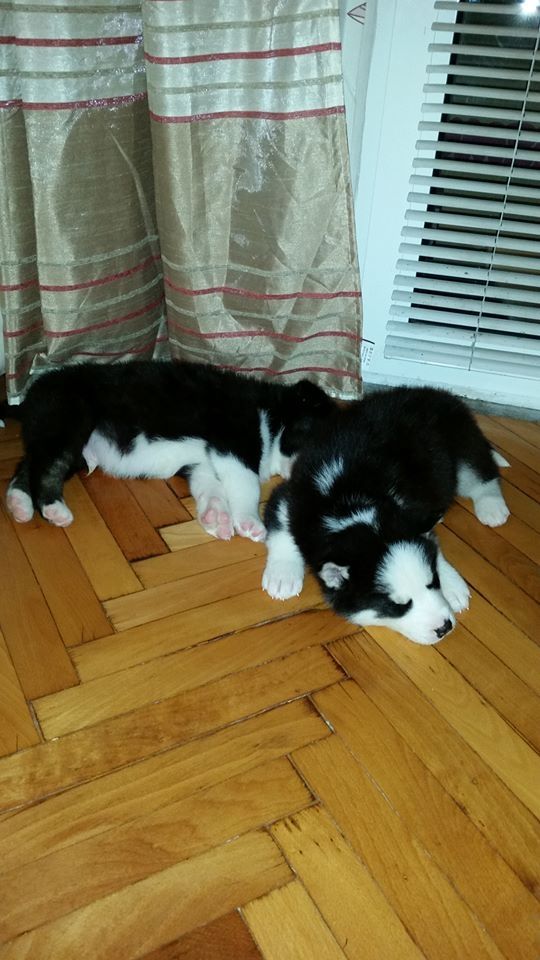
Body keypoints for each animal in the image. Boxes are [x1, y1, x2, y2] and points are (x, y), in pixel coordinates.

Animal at [1, 360, 335, 539]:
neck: (271, 412)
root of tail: (28, 397)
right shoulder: (234, 440)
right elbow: (247, 483)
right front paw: (249, 522)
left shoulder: (203, 463)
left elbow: (211, 489)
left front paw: (217, 518)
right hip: (70, 422)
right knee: (45, 467)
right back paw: (53, 508)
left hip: (63, 441)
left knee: (28, 464)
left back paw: (19, 504)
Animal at [262, 386, 510, 645]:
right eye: (397, 606)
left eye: (432, 582)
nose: (444, 627)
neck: (351, 505)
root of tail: (435, 392)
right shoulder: (291, 497)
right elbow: (281, 530)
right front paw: (283, 575)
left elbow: (431, 543)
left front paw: (452, 584)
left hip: (461, 443)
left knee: (482, 472)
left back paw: (492, 506)